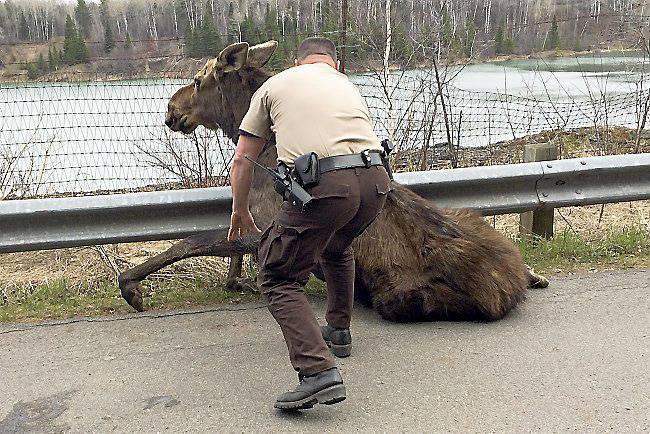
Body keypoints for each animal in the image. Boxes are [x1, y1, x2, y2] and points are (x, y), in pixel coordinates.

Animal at [117, 41, 548, 322]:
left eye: (198, 79)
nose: (170, 109)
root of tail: (507, 288)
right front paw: (236, 282)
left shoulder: (267, 229)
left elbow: (191, 242)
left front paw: (131, 286)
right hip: (467, 216)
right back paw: (536, 274)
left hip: (400, 298)